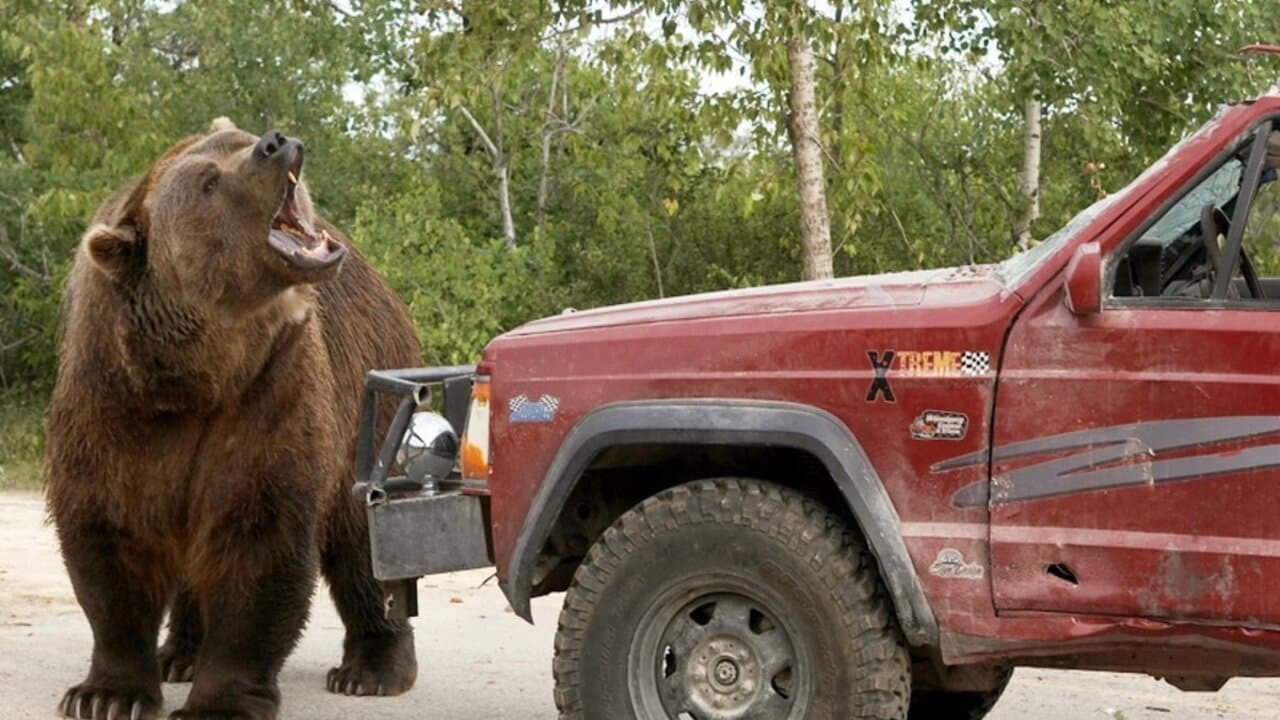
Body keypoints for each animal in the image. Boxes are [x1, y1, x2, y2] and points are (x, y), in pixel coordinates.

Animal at [44, 118, 421, 720]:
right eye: (207, 181)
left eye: (240, 140)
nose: (274, 143)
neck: (194, 375)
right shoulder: (109, 394)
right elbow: (110, 534)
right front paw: (105, 694)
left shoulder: (269, 389)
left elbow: (256, 538)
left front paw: (219, 702)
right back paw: (179, 654)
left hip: (370, 394)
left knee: (365, 541)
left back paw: (372, 669)